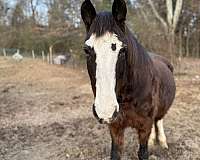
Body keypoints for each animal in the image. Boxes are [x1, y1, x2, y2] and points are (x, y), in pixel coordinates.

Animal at [80, 0, 176, 159]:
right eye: (86, 51)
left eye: (123, 50)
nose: (105, 110)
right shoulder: (115, 127)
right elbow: (115, 153)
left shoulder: (144, 125)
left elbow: (143, 152)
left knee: (159, 120)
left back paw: (162, 142)